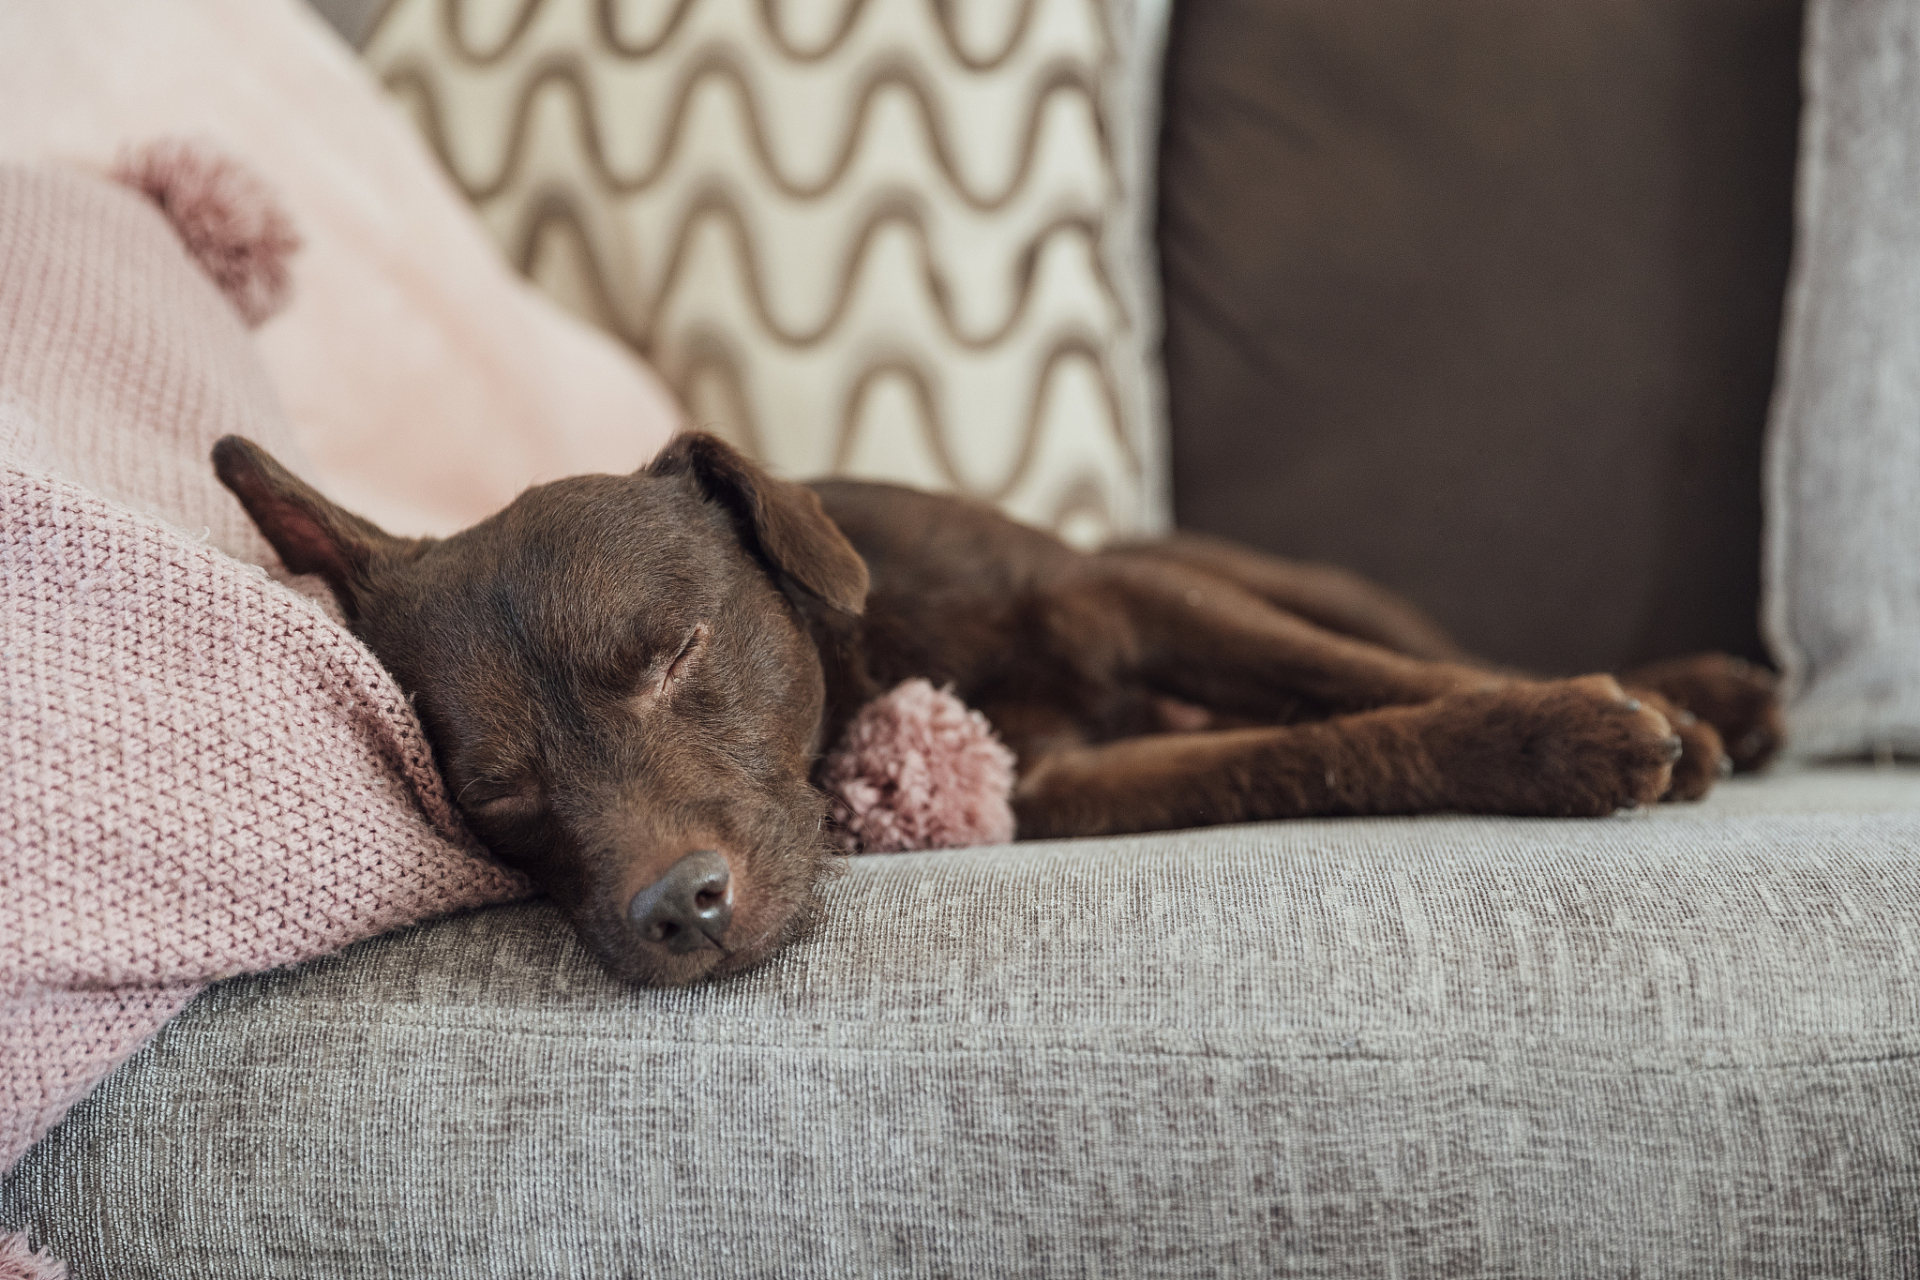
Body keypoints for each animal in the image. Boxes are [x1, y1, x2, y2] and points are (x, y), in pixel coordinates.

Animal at [214, 435, 1781, 990]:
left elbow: (1365, 688)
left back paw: (1704, 689)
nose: (675, 909)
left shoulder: (1127, 603)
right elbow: (1308, 748)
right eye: (493, 801)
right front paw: (1567, 739)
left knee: (1398, 640)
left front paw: (1577, 726)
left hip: (1237, 574)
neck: (873, 658)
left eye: (674, 652)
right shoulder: (1074, 781)